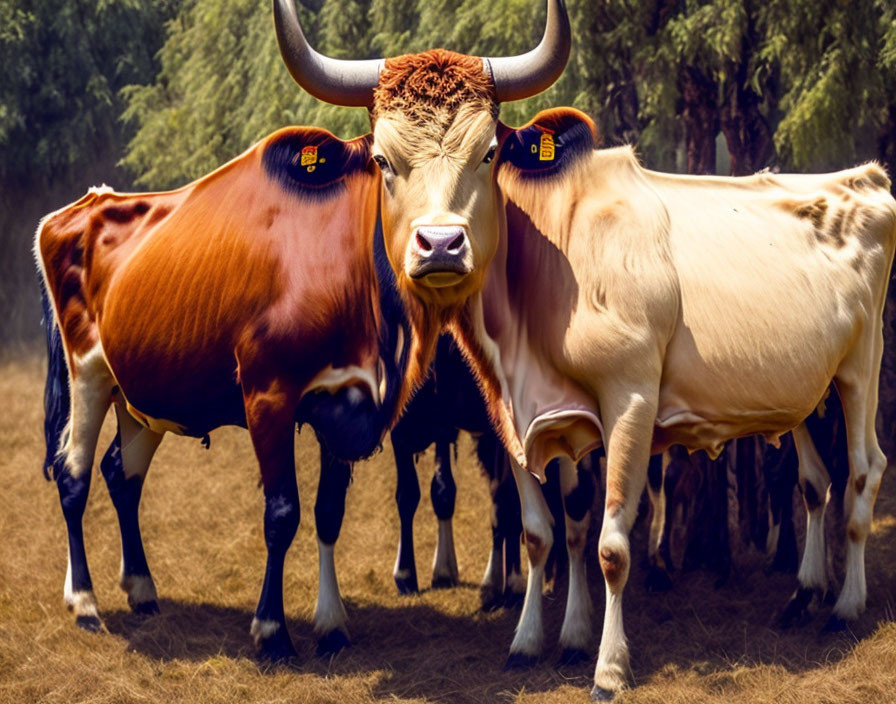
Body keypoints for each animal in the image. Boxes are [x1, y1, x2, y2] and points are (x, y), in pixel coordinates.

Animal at [35, 129, 420, 664]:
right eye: (385, 159)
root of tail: (87, 202)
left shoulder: (342, 403)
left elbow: (328, 513)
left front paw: (331, 625)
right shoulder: (268, 396)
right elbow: (282, 513)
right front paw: (273, 631)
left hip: (141, 389)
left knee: (121, 474)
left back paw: (141, 588)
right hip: (87, 372)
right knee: (73, 477)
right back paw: (86, 603)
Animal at [270, 0, 896, 696]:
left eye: (489, 152)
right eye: (381, 159)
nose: (440, 245)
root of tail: (863, 177)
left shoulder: (630, 401)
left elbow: (610, 543)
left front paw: (608, 667)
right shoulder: (513, 417)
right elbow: (540, 532)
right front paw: (530, 642)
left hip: (861, 368)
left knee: (864, 470)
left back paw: (845, 606)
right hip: (804, 391)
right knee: (815, 482)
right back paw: (803, 594)